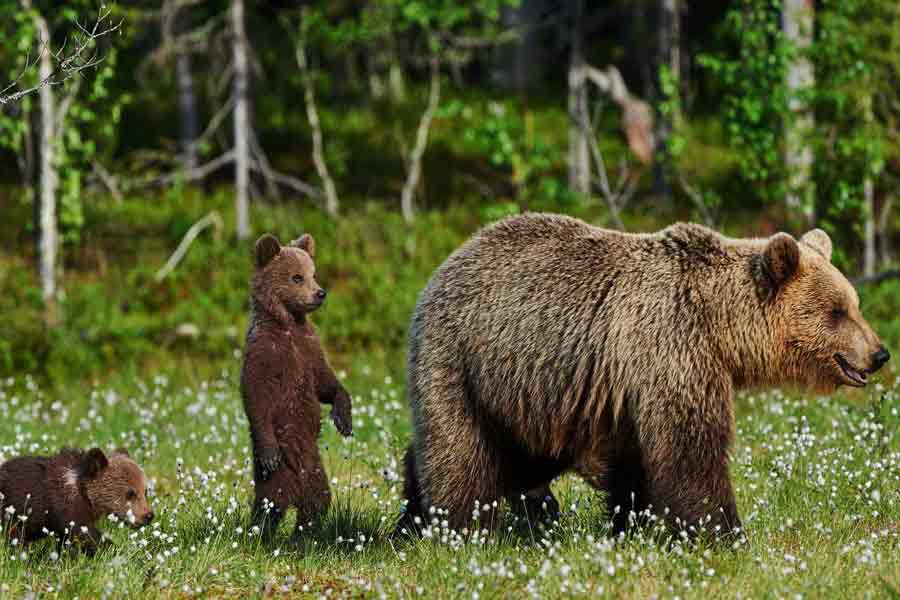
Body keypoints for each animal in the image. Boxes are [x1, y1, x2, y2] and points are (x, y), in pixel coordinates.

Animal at [400, 214, 884, 540]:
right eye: (837, 311)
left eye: (854, 304)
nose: (879, 353)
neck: (719, 325)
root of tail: (449, 260)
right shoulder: (672, 346)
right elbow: (691, 449)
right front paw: (726, 535)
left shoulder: (624, 386)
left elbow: (635, 462)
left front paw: (632, 524)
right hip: (462, 361)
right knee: (462, 452)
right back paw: (456, 527)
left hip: (527, 394)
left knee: (517, 456)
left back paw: (412, 518)